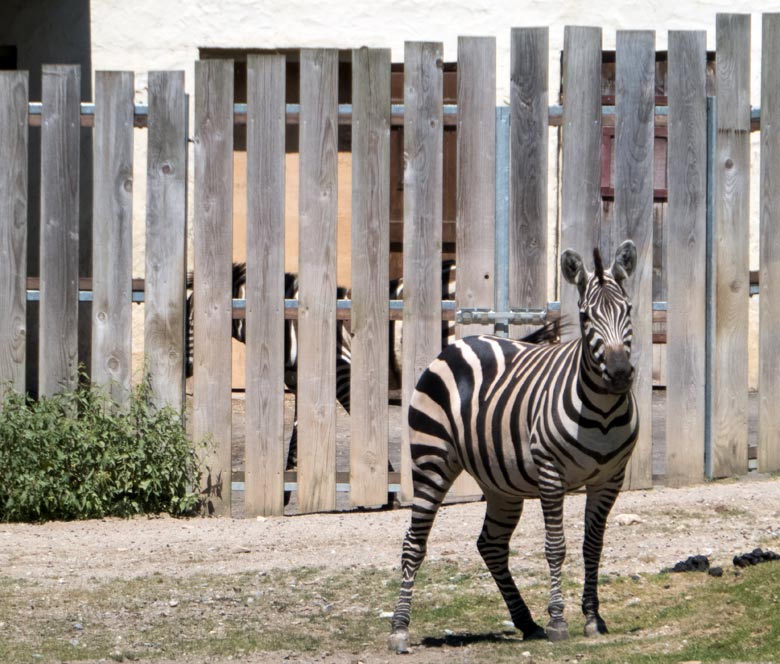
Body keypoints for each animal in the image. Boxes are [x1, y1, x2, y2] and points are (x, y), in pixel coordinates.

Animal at [390, 241, 640, 652]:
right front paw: (558, 621)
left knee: (491, 545)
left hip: (500, 483)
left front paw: (592, 618)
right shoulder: (551, 474)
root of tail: (458, 344)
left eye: (629, 310)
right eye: (585, 317)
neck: (602, 411)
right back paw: (398, 629)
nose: (620, 373)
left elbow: (592, 547)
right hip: (431, 460)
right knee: (414, 543)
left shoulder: (609, 479)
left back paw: (525, 622)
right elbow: (556, 547)